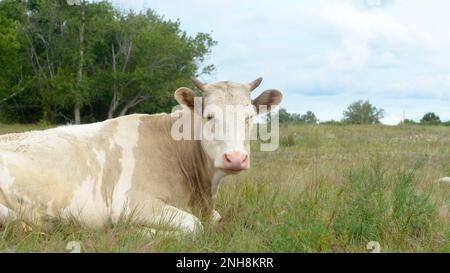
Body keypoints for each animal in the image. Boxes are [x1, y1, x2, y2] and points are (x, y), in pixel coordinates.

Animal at [0, 77, 282, 233]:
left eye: (249, 116)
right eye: (209, 115)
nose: (235, 158)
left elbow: (213, 219)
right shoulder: (129, 202)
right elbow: (194, 226)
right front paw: (136, 232)